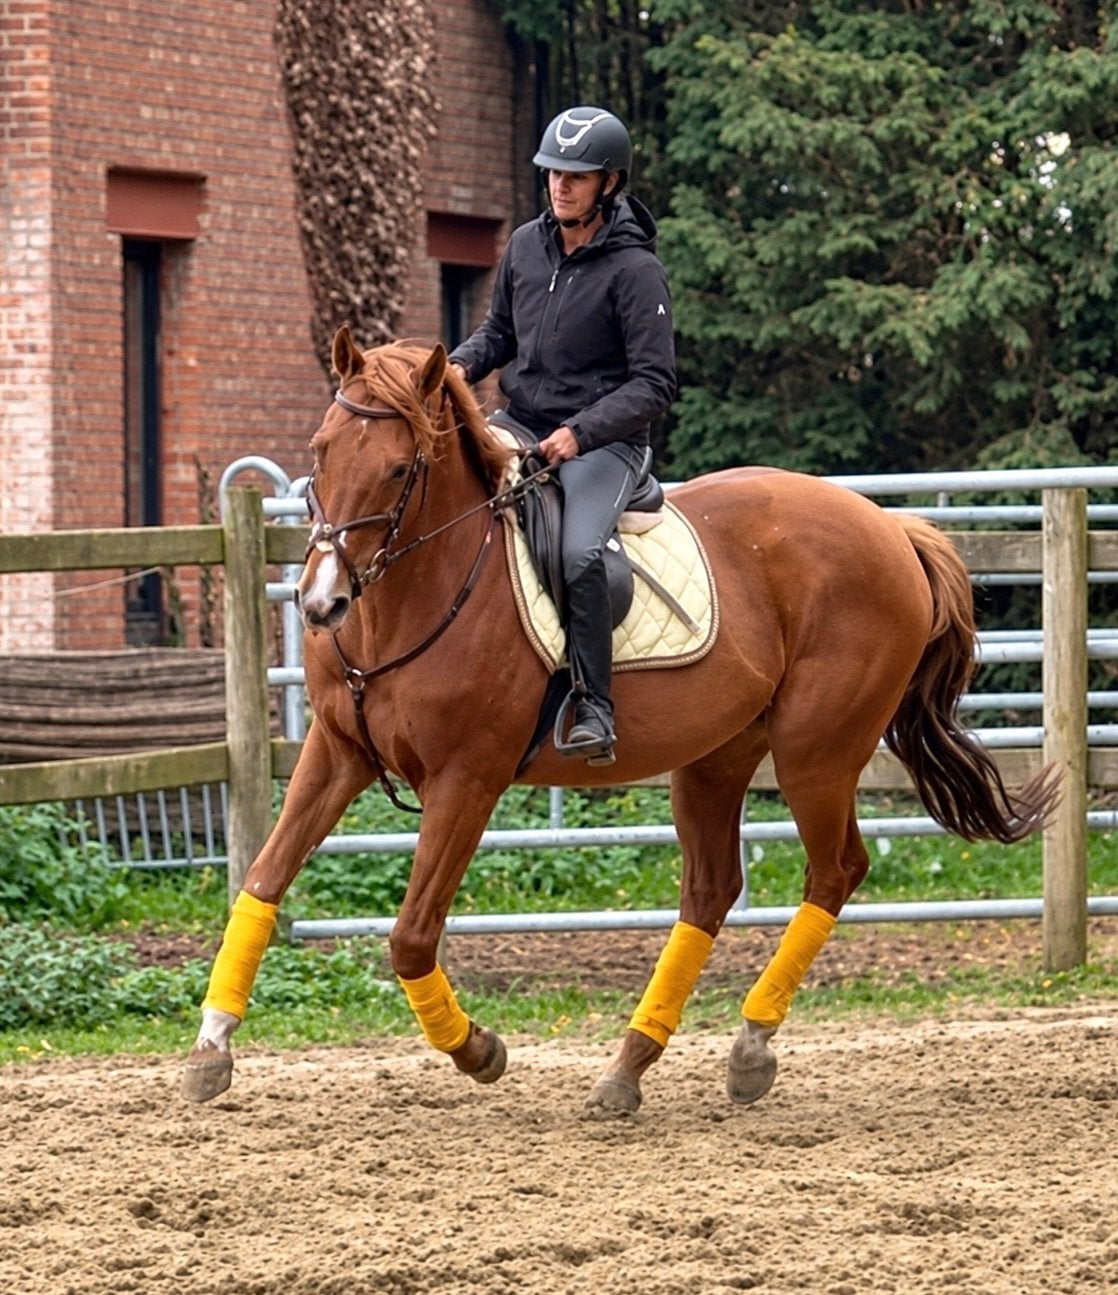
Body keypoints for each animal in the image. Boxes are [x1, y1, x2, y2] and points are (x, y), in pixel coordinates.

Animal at [182, 328, 1058, 1117]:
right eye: (321, 450)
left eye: (399, 467)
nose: (320, 602)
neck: (409, 599)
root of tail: (889, 528)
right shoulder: (336, 752)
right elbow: (261, 880)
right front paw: (211, 1046)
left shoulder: (468, 779)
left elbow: (411, 935)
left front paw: (479, 1050)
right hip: (715, 757)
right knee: (711, 890)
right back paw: (629, 1065)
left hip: (817, 753)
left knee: (835, 870)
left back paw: (747, 1047)